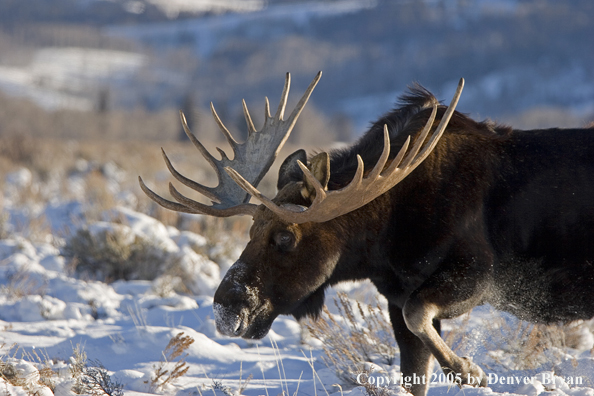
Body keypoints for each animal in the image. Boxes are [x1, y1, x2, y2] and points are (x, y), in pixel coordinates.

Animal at [139, 72, 592, 396]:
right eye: (250, 229)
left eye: (286, 237)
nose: (227, 309)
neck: (382, 239)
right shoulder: (397, 295)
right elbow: (413, 371)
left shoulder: (479, 272)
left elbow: (420, 318)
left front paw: (469, 370)